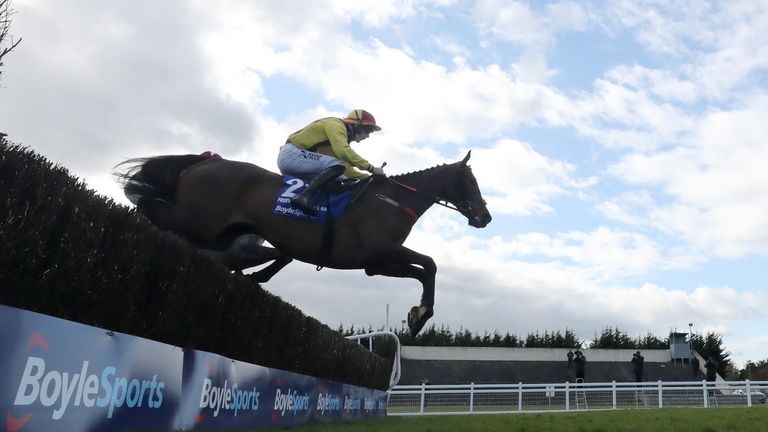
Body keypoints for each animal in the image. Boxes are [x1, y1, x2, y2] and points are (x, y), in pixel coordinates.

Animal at [117, 150, 496, 336]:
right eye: (471, 182)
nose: (485, 216)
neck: (392, 201)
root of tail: (204, 162)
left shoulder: (375, 265)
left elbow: (423, 270)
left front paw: (417, 315)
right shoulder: (379, 252)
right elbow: (431, 264)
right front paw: (421, 315)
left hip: (217, 229)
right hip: (199, 221)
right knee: (154, 210)